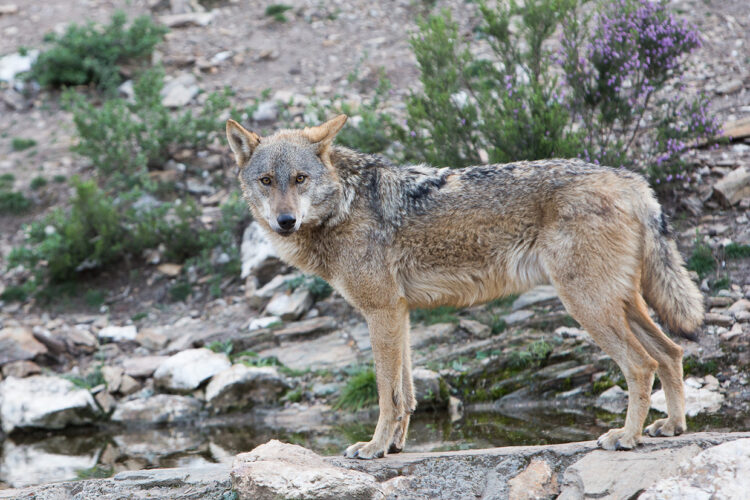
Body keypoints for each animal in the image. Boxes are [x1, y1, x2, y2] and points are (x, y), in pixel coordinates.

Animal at [226, 114, 704, 459]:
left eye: (300, 179)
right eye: (267, 181)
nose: (285, 221)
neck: (344, 204)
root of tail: (630, 179)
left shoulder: (381, 312)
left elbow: (386, 394)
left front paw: (375, 446)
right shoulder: (399, 313)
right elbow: (406, 394)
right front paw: (394, 446)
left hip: (588, 306)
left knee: (641, 364)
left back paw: (626, 437)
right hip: (619, 303)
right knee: (671, 352)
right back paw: (671, 426)